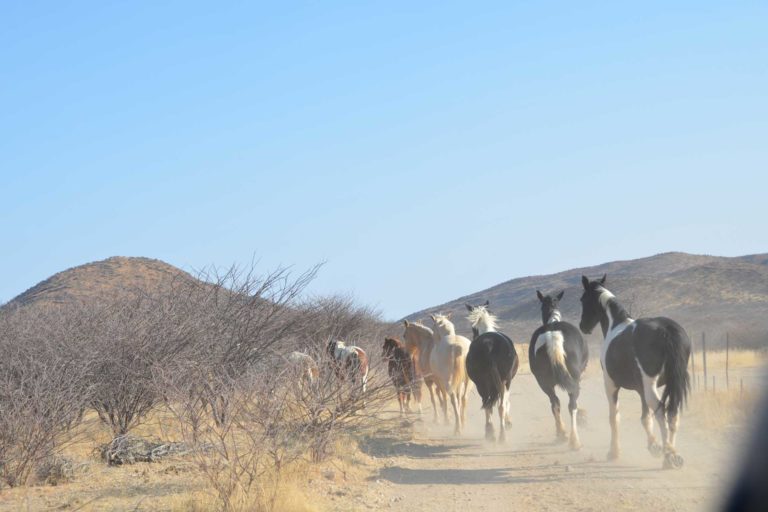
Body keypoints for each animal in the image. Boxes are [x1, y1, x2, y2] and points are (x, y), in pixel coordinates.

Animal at [464, 302, 520, 442]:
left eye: (473, 329)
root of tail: (488, 344)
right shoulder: (507, 381)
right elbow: (506, 401)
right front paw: (508, 422)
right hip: (501, 381)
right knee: (499, 405)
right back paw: (499, 435)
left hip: (481, 384)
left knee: (488, 404)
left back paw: (492, 433)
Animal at [528, 290, 588, 450]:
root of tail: (553, 335)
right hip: (572, 378)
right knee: (571, 405)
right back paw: (573, 439)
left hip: (544, 382)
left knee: (555, 403)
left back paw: (563, 434)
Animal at [580, 276, 692, 468]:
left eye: (582, 300)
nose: (583, 326)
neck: (615, 324)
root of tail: (666, 330)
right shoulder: (640, 389)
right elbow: (646, 418)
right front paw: (653, 446)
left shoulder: (610, 385)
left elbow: (614, 417)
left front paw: (614, 452)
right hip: (669, 385)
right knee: (673, 413)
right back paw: (673, 453)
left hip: (650, 386)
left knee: (661, 411)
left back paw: (668, 455)